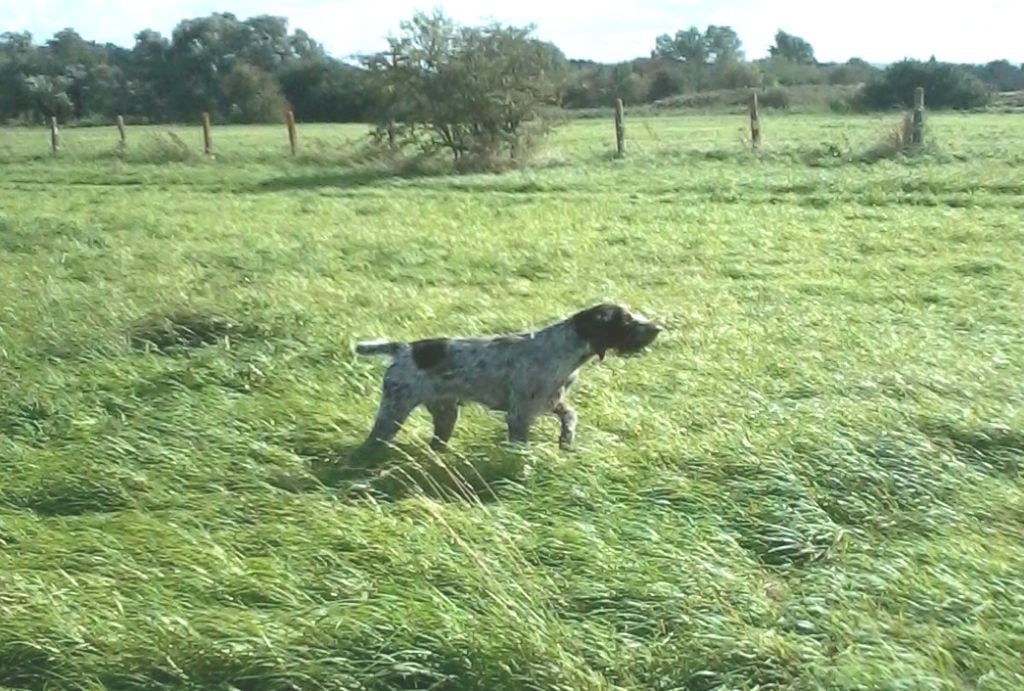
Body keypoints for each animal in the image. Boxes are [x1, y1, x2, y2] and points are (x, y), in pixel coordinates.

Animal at [354, 303, 663, 448]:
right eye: (626, 321)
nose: (657, 328)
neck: (565, 348)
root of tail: (403, 349)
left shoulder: (550, 402)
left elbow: (570, 416)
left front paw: (566, 439)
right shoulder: (519, 415)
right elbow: (520, 448)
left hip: (445, 414)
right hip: (392, 413)